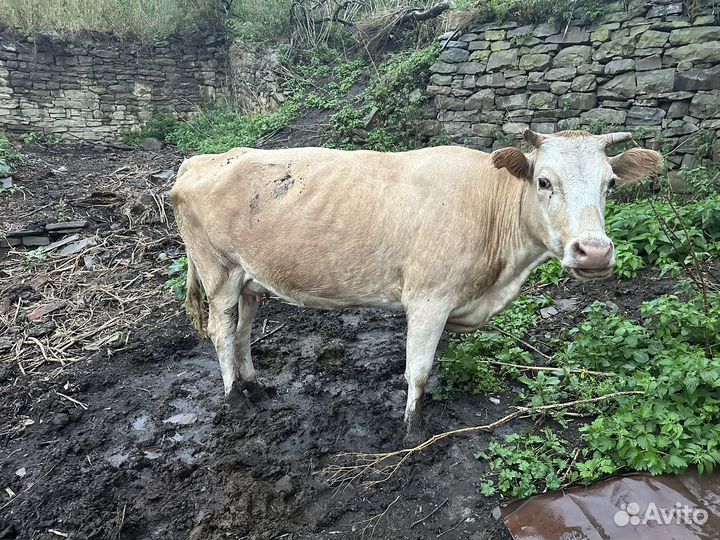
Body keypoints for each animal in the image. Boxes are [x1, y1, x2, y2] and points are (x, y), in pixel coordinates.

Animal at [171, 129, 661, 442]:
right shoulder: (429, 298)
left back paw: (255, 387)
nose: (594, 251)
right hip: (218, 272)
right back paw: (234, 399)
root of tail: (203, 159)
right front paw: (413, 430)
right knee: (221, 332)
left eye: (611, 183)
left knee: (243, 333)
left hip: (250, 280)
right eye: (544, 181)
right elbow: (419, 370)